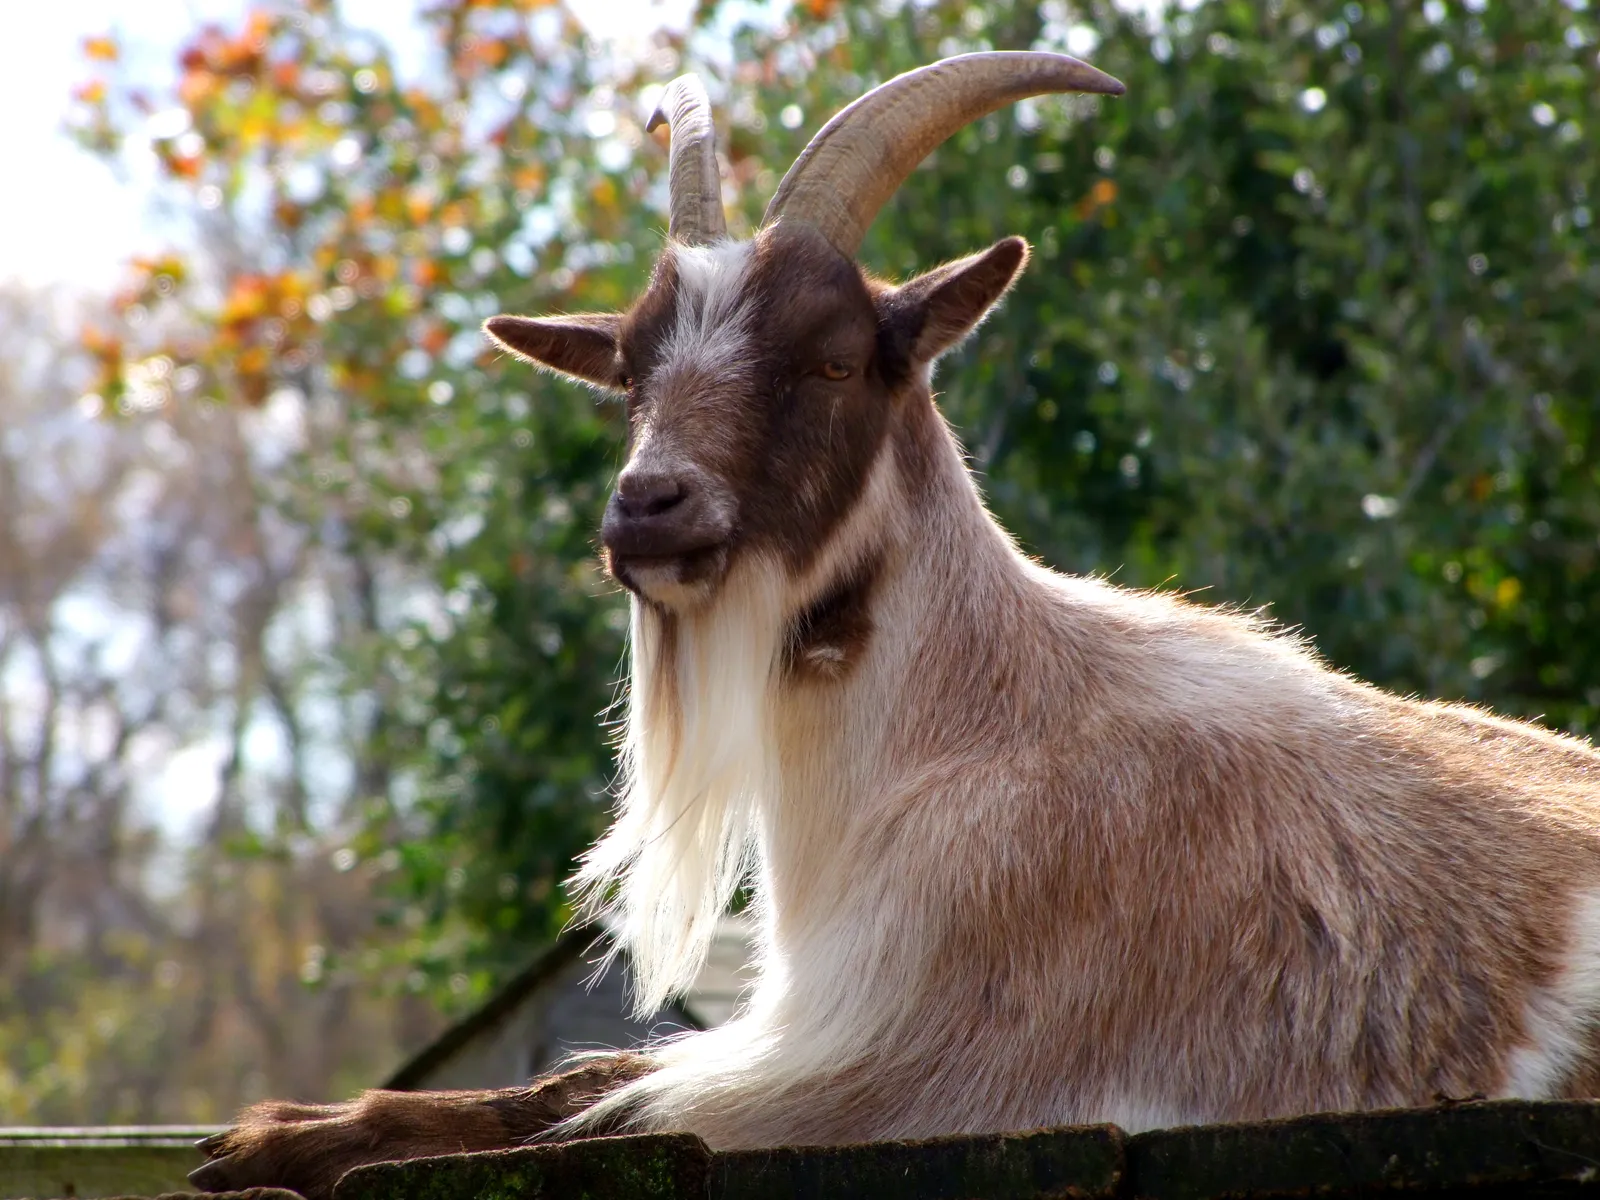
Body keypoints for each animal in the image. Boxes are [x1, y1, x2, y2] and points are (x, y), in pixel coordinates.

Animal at [192, 52, 1600, 1199]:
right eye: (633, 371)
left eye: (829, 358)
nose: (647, 508)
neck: (958, 736)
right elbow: (570, 1087)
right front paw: (270, 1134)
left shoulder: (899, 1067)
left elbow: (593, 1116)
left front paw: (280, 1141)